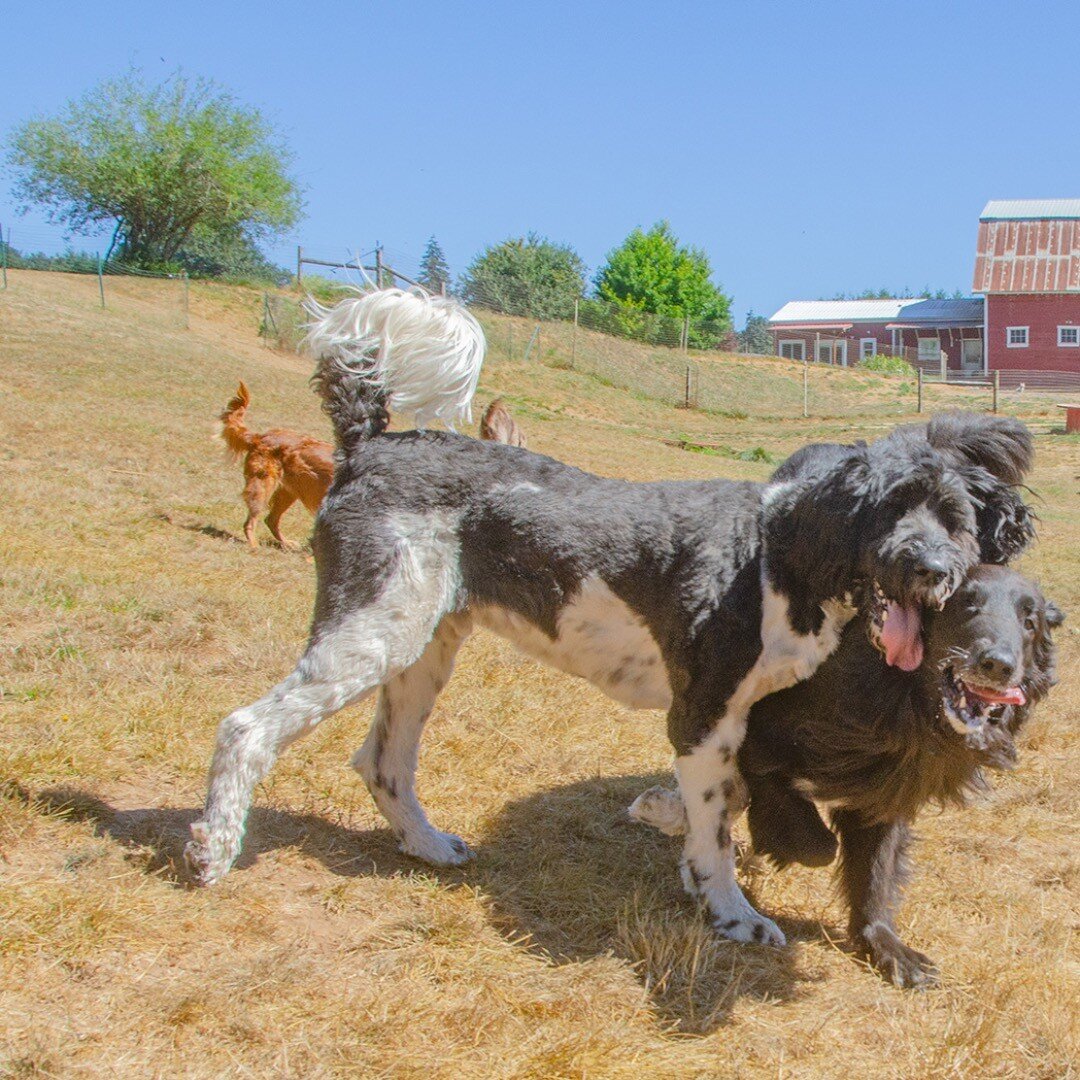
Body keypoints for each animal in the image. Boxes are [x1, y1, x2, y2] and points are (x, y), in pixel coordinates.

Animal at [185, 291, 1028, 950]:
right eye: (885, 511)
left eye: (955, 520)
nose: (931, 570)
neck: (781, 552)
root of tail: (369, 443)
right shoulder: (703, 717)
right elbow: (718, 830)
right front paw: (731, 912)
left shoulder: (737, 726)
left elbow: (726, 806)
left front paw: (683, 852)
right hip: (371, 631)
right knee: (244, 727)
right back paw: (213, 850)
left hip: (422, 647)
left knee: (382, 762)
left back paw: (425, 845)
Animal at [630, 565, 1058, 989]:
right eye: (965, 605)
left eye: (1030, 623)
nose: (998, 664)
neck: (903, 701)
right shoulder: (753, 729)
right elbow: (813, 840)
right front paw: (779, 841)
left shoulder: (885, 792)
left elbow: (874, 872)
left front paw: (887, 947)